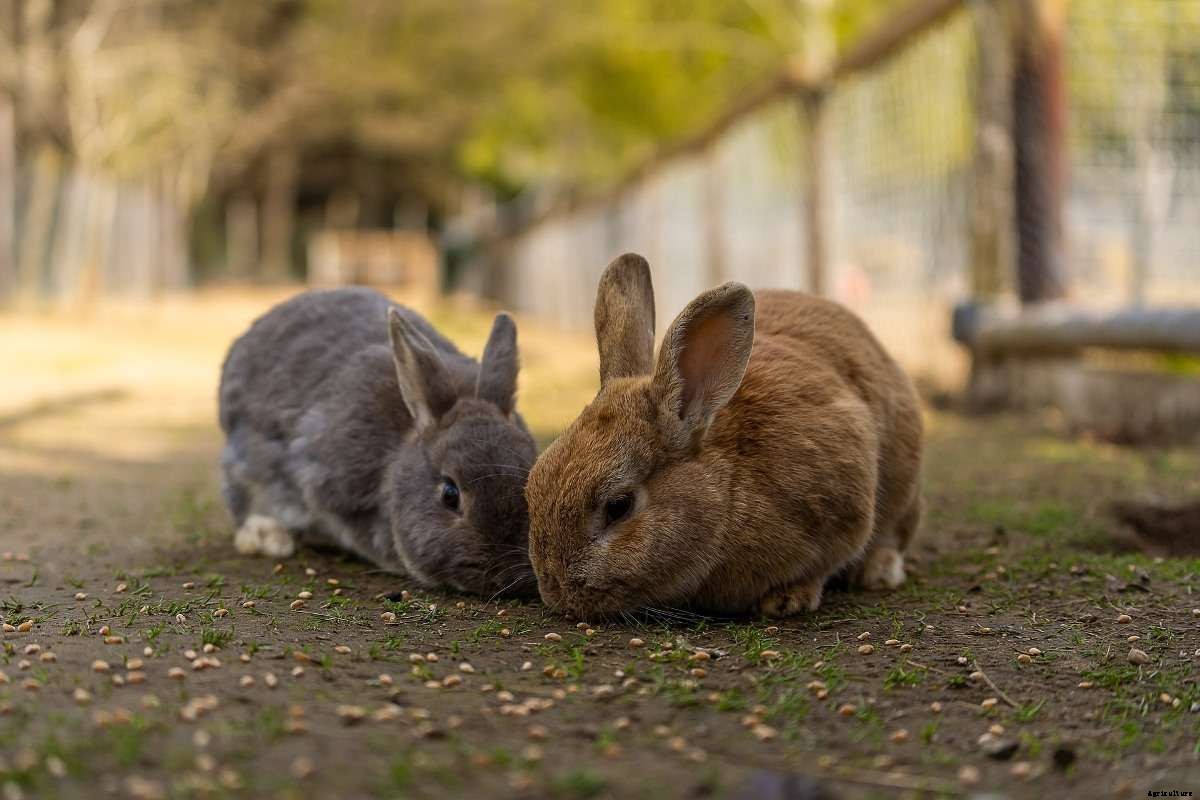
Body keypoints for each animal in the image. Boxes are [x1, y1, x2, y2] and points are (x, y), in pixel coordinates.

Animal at [525, 253, 923, 619]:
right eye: (532, 487)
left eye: (618, 506)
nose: (556, 592)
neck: (728, 485)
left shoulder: (846, 500)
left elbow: (830, 558)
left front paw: (787, 599)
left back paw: (878, 572)